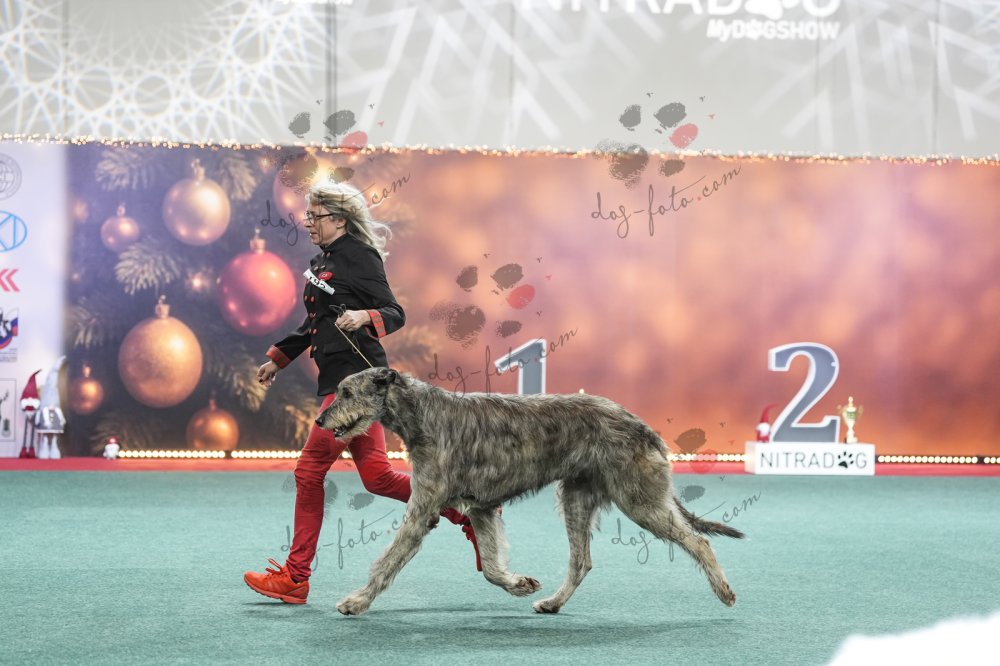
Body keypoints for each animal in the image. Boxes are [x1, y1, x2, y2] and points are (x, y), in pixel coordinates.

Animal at [316, 366, 744, 615]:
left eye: (346, 392)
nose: (319, 420)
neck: (422, 413)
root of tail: (643, 426)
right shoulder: (482, 509)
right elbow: (490, 566)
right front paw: (518, 583)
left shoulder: (423, 509)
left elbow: (387, 561)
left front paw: (357, 600)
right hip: (576, 498)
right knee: (581, 561)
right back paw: (553, 602)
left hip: (639, 500)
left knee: (699, 541)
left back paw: (724, 591)